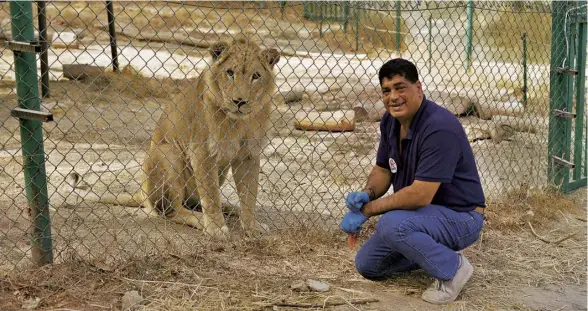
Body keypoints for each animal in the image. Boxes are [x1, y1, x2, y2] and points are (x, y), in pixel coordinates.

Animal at [65, 37, 282, 241]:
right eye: (230, 73)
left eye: (256, 76)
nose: (239, 101)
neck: (239, 122)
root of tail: (142, 192)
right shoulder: (201, 151)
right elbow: (211, 195)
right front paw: (215, 229)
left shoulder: (249, 154)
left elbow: (249, 194)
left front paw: (251, 226)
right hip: (168, 152)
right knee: (172, 211)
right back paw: (201, 220)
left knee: (195, 202)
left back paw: (230, 208)